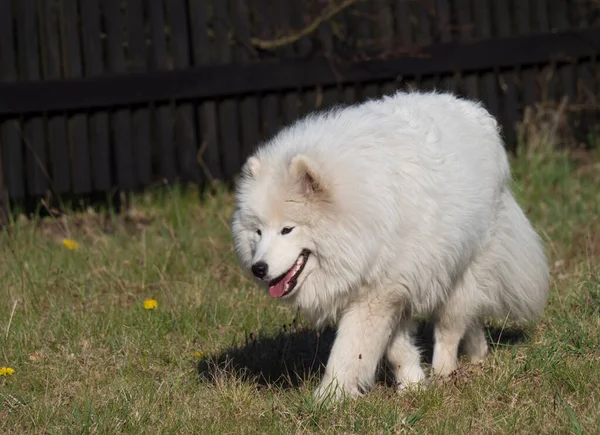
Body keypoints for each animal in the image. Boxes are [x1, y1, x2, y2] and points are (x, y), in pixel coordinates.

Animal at [230, 91, 548, 402]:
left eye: (287, 229)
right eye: (258, 232)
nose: (258, 269)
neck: (360, 214)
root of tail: (477, 113)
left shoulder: (376, 296)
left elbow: (347, 353)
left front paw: (326, 400)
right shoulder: (391, 293)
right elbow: (398, 350)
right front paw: (413, 387)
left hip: (462, 270)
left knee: (450, 328)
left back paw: (445, 373)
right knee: (469, 320)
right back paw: (478, 356)